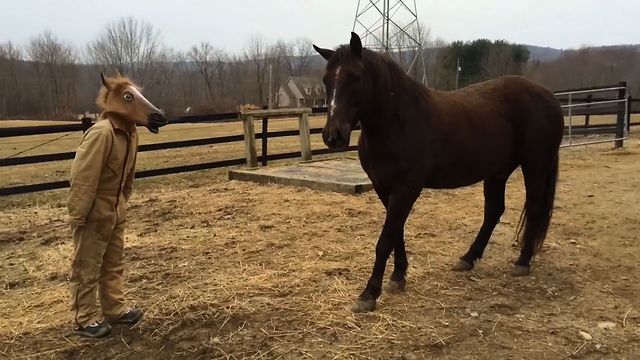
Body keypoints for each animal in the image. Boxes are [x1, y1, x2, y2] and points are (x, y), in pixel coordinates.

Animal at [312, 33, 564, 312]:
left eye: (355, 77)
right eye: (326, 80)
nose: (333, 136)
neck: (398, 122)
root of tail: (549, 97)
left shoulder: (406, 190)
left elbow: (385, 240)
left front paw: (369, 294)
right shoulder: (384, 188)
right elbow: (396, 232)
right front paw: (398, 276)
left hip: (535, 166)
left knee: (533, 209)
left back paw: (522, 262)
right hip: (497, 172)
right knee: (494, 212)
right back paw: (468, 258)